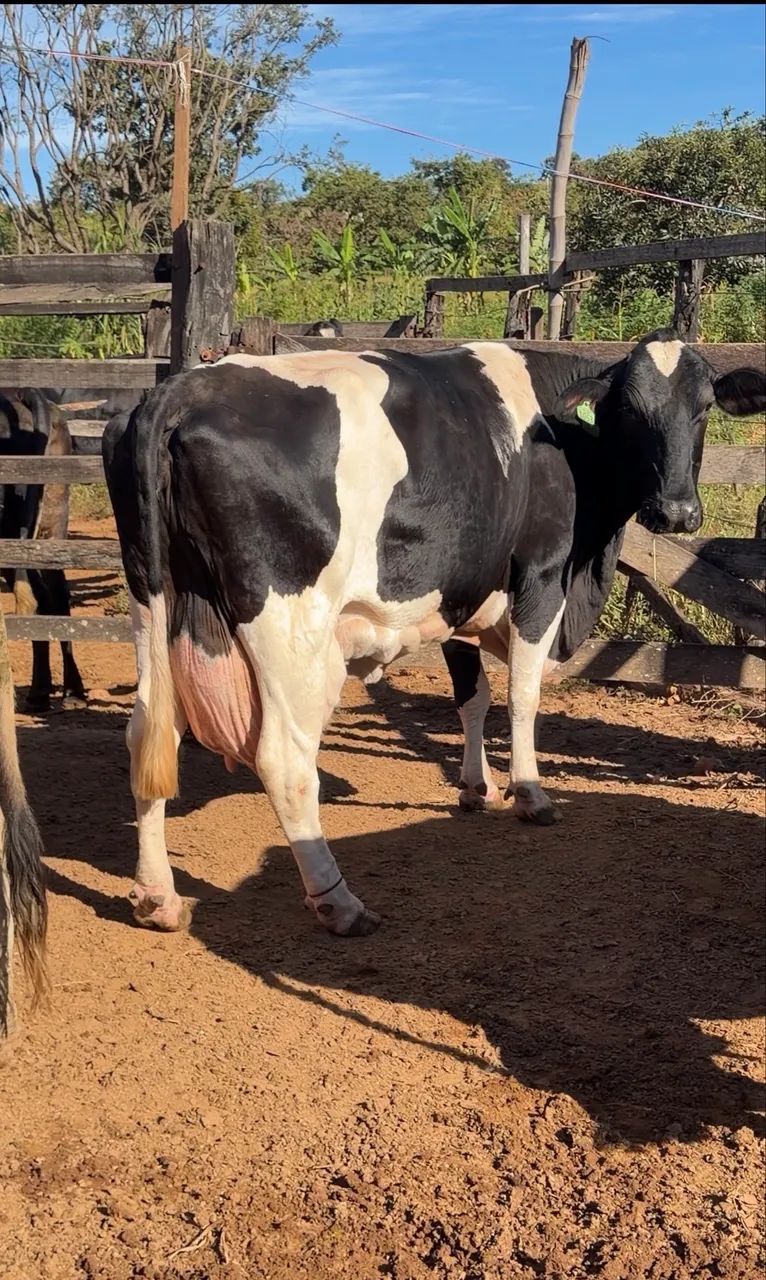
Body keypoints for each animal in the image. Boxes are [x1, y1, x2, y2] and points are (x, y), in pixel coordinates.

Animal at [102, 329, 764, 938]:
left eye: (704, 406)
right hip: (290, 627)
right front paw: (530, 795)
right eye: (628, 410)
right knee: (285, 763)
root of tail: (180, 390)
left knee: (147, 736)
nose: (675, 513)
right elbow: (522, 697)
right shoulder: (542, 576)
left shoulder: (461, 590)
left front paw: (476, 789)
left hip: (158, 612)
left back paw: (157, 897)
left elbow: (473, 697)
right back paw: (339, 902)